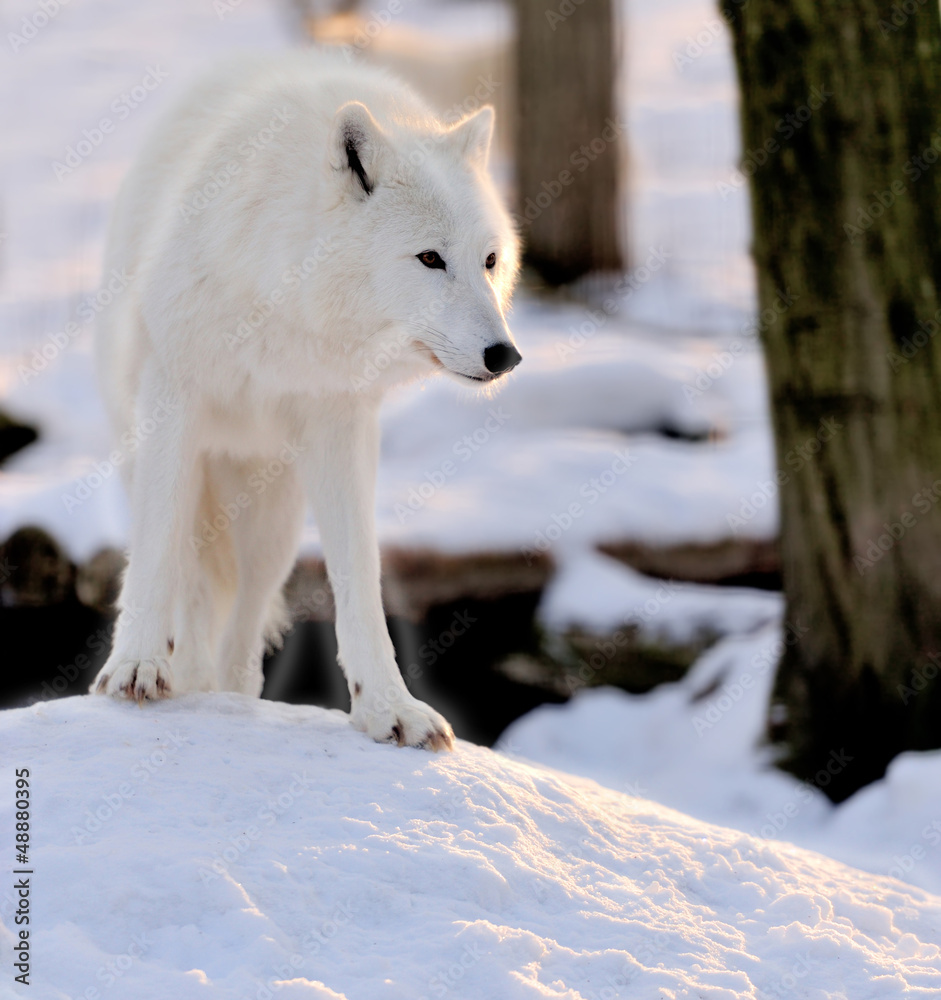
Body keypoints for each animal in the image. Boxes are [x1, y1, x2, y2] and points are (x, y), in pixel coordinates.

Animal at [90, 51, 522, 752]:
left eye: (489, 261)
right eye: (430, 259)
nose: (504, 356)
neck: (286, 300)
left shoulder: (339, 424)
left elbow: (361, 580)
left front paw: (389, 709)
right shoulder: (174, 394)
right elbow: (153, 560)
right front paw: (135, 667)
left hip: (275, 527)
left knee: (240, 637)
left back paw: (226, 697)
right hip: (176, 474)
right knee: (192, 584)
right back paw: (185, 681)